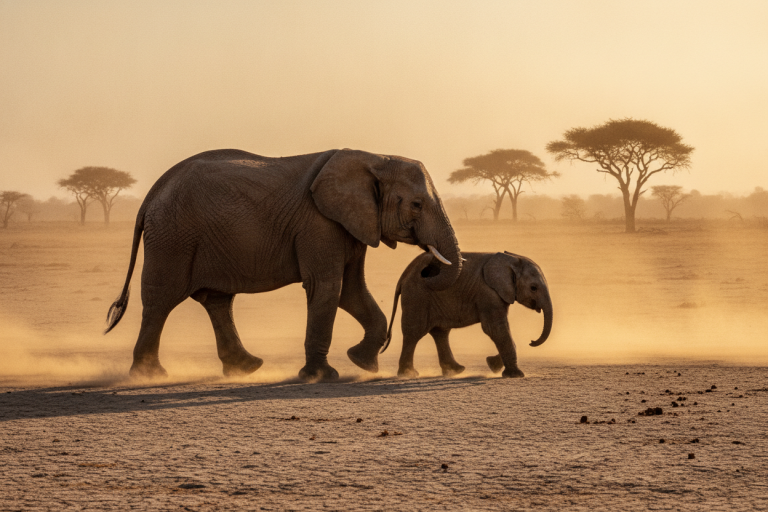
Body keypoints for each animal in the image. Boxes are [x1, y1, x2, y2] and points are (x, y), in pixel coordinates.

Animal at [105, 148, 462, 381]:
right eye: (417, 205)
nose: (428, 267)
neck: (375, 157)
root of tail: (152, 194)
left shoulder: (352, 224)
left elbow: (351, 291)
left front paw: (363, 364)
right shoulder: (320, 224)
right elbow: (327, 287)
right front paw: (322, 376)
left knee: (217, 300)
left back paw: (245, 368)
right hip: (173, 237)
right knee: (162, 299)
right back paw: (149, 376)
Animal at [381, 251, 552, 378]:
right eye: (533, 288)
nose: (531, 341)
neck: (512, 260)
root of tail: (404, 275)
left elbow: (498, 330)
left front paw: (492, 364)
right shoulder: (488, 293)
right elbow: (495, 328)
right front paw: (515, 375)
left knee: (440, 332)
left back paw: (455, 371)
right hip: (417, 296)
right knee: (414, 333)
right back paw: (409, 375)